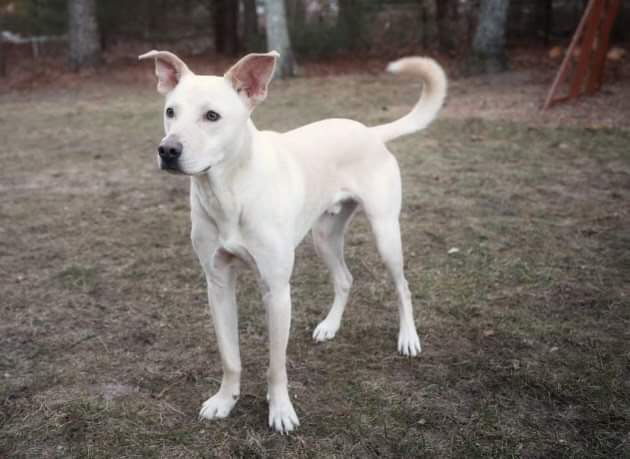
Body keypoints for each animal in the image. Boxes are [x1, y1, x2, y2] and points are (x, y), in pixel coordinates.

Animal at [141, 51, 446, 434]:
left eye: (212, 116)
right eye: (171, 111)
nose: (167, 150)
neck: (230, 190)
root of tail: (368, 131)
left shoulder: (277, 291)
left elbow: (276, 365)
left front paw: (280, 410)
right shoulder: (218, 284)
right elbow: (230, 356)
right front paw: (225, 401)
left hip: (385, 233)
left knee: (402, 286)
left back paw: (408, 338)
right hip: (324, 237)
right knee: (345, 279)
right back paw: (330, 327)